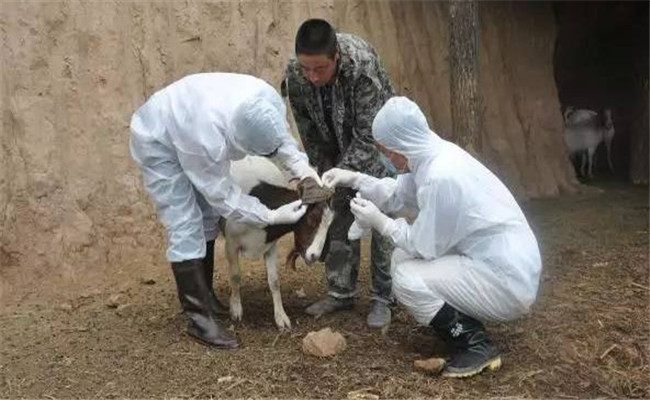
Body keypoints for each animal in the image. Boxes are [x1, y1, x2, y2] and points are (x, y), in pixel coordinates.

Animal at [220, 158, 334, 330]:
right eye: (311, 219)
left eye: (329, 225)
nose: (314, 255)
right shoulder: (231, 243)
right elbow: (235, 276)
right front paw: (236, 309)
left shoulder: (271, 246)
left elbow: (274, 281)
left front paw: (281, 318)